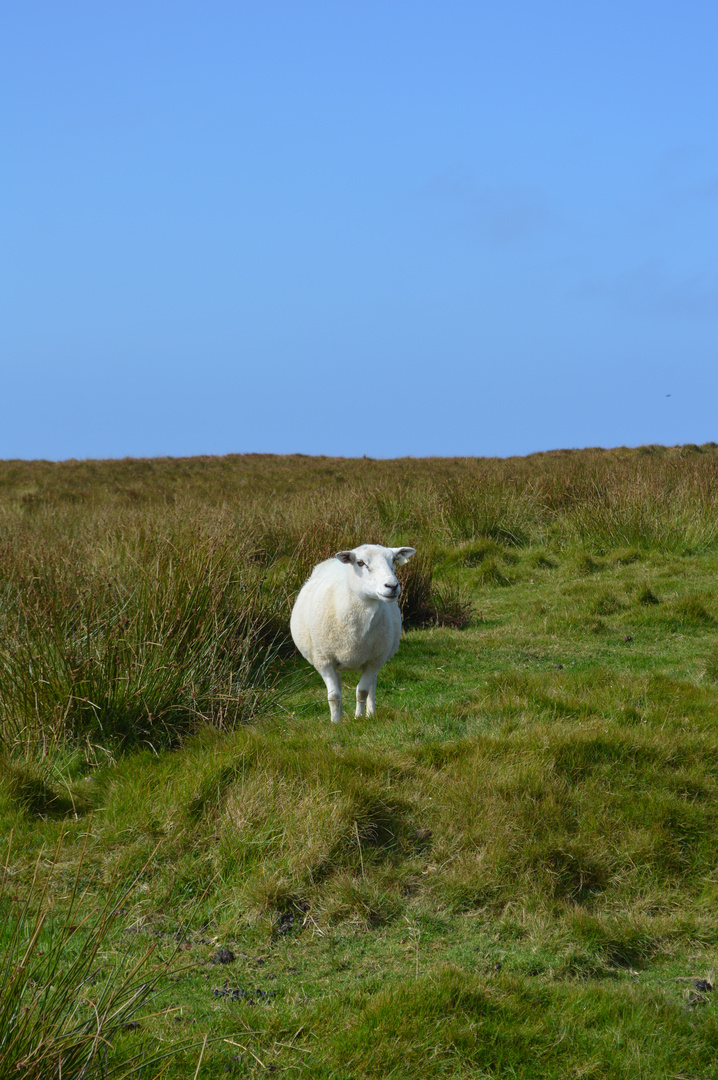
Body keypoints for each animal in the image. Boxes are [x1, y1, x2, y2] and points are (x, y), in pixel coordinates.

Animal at [289, 544, 416, 721]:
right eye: (360, 563)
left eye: (394, 560)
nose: (392, 586)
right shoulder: (323, 660)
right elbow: (334, 696)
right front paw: (335, 722)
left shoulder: (374, 661)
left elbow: (362, 691)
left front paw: (359, 718)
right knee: (339, 685)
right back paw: (341, 715)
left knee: (372, 685)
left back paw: (370, 714)